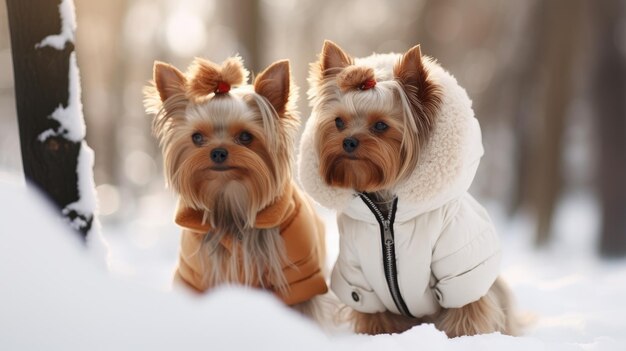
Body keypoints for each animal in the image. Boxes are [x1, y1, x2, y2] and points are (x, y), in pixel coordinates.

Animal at [142, 57, 326, 316]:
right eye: (197, 137)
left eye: (246, 137)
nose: (218, 152)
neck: (230, 198)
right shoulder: (195, 276)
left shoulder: (300, 278)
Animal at [298, 40, 516, 336]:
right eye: (338, 122)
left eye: (381, 125)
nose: (348, 141)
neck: (386, 211)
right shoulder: (357, 273)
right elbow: (372, 310)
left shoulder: (460, 268)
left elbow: (467, 306)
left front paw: (461, 336)